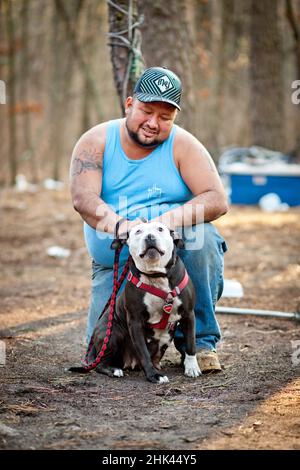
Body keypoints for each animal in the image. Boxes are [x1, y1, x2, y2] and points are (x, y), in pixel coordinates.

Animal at [72, 222, 200, 384]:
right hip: (113, 333)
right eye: (138, 231)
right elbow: (144, 353)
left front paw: (192, 367)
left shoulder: (188, 315)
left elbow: (190, 344)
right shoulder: (135, 322)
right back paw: (114, 370)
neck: (157, 276)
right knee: (100, 364)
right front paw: (153, 375)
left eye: (160, 229)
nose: (150, 237)